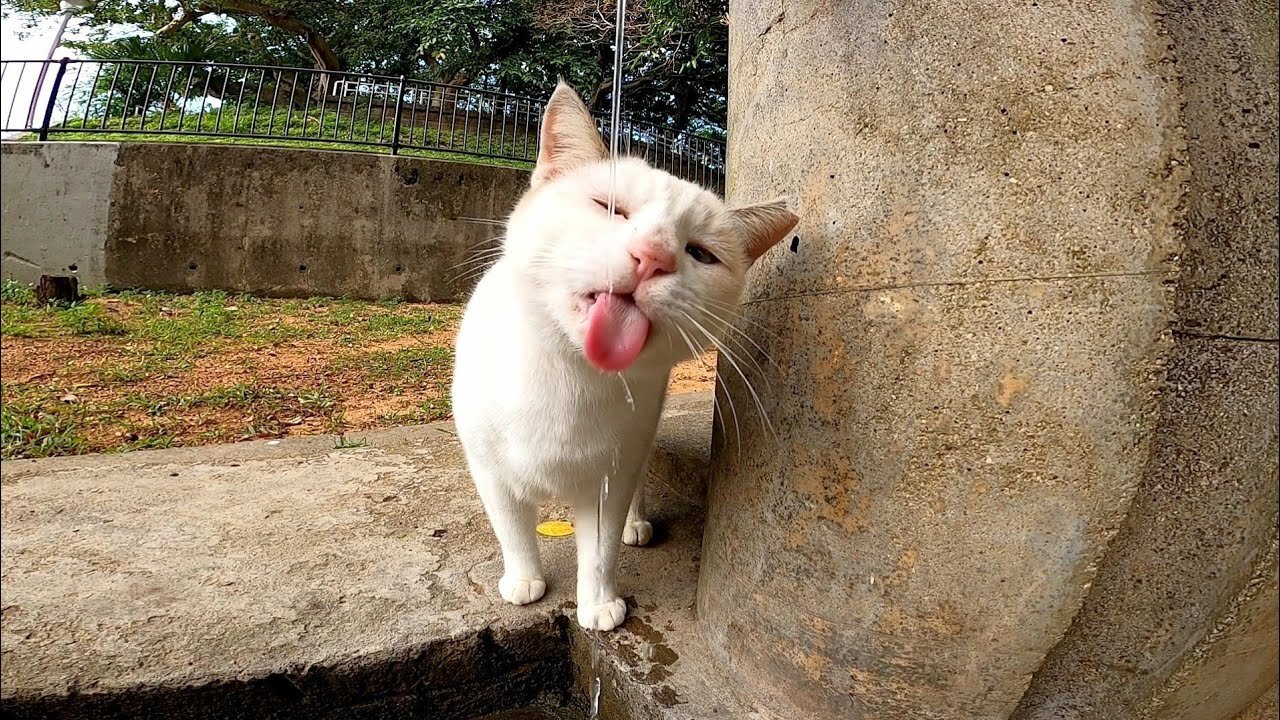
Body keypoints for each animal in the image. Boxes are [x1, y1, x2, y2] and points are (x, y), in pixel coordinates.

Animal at [448, 82, 788, 627]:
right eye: (609, 208)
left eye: (701, 254)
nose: (653, 256)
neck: (571, 376)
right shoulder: (490, 470)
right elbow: (512, 529)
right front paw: (524, 580)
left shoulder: (612, 476)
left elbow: (601, 550)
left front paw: (600, 604)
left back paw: (637, 523)